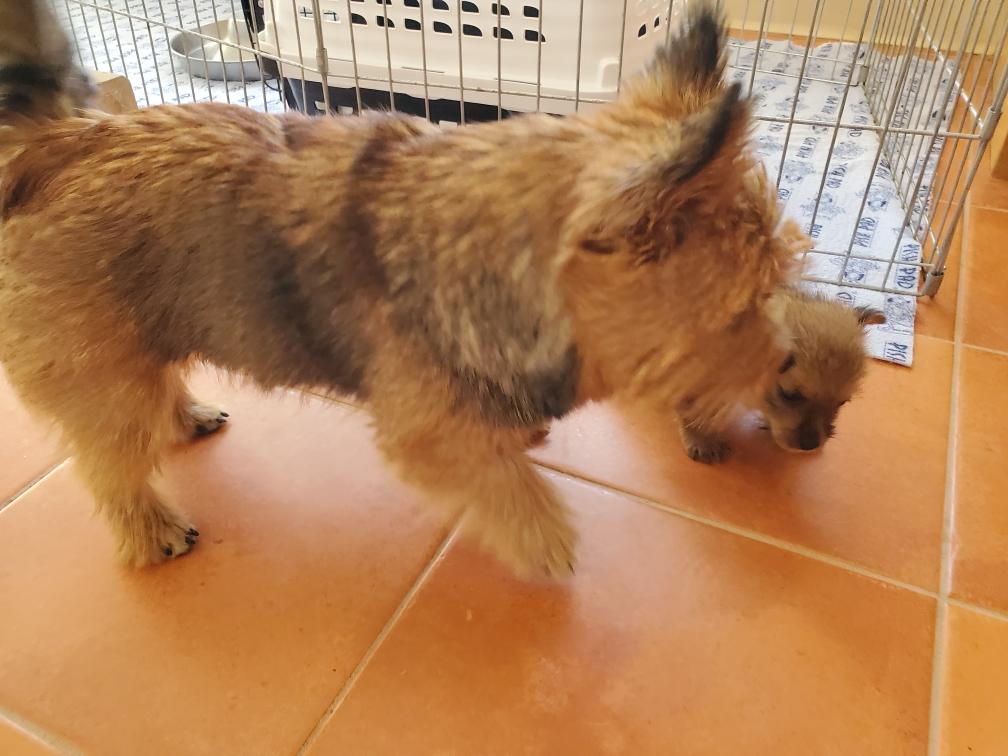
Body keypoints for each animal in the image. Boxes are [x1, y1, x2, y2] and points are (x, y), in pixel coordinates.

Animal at [0, 1, 803, 579]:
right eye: (740, 310)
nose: (787, 375)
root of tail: (57, 141)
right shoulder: (428, 436)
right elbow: (503, 480)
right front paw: (541, 535)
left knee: (152, 391)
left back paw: (184, 416)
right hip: (100, 376)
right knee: (110, 463)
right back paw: (150, 530)